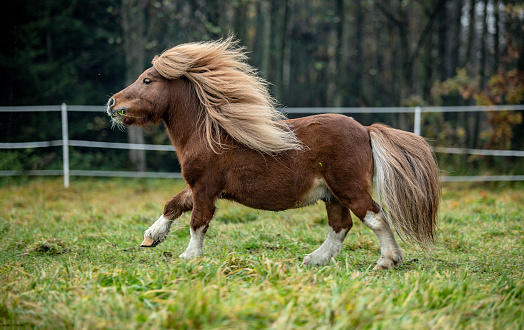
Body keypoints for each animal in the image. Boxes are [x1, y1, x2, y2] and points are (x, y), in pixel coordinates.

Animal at [105, 39, 438, 270]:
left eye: (147, 80)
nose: (111, 103)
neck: (209, 134)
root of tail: (366, 130)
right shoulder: (198, 187)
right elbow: (173, 204)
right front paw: (151, 236)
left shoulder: (205, 189)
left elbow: (198, 222)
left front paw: (189, 256)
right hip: (332, 195)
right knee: (341, 226)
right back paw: (314, 259)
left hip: (348, 188)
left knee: (376, 217)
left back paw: (387, 261)